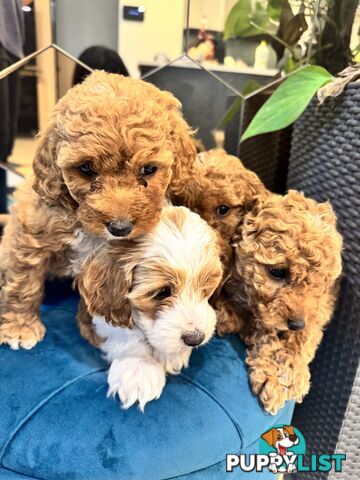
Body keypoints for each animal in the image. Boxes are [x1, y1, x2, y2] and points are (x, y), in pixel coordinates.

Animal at [0, 70, 197, 348]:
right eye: (86, 168)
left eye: (148, 169)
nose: (120, 228)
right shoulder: (30, 237)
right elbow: (23, 282)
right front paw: (20, 327)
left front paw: (94, 327)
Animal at [78, 204, 225, 410]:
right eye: (161, 293)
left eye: (205, 288)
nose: (195, 339)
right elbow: (126, 332)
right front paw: (139, 368)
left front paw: (170, 354)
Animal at [217, 189, 344, 414]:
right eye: (277, 272)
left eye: (320, 280)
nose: (296, 324)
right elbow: (263, 328)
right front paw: (273, 377)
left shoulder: (322, 306)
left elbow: (307, 334)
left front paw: (291, 370)